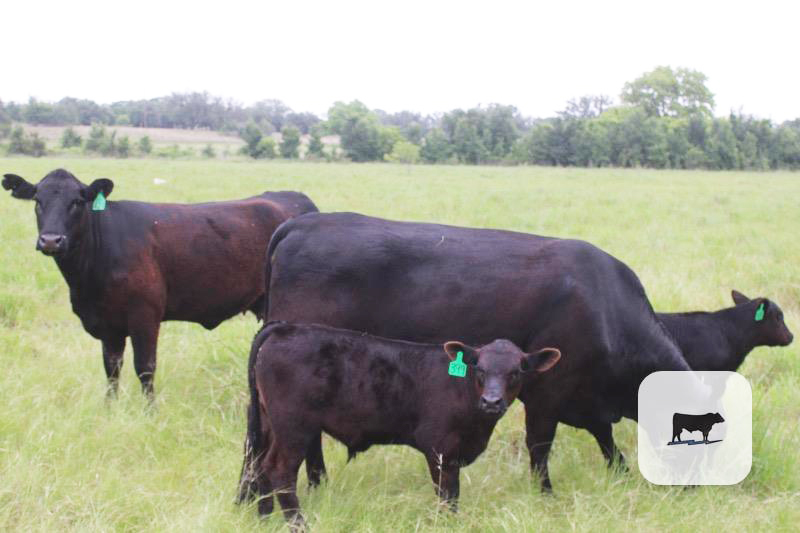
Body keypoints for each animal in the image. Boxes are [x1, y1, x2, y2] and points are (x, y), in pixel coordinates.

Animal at [2, 169, 317, 400]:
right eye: (38, 201)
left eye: (77, 202)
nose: (51, 240)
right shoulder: (108, 324)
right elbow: (111, 369)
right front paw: (110, 407)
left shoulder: (145, 316)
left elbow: (145, 367)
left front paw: (149, 411)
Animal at [238, 321, 561, 528]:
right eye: (479, 369)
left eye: (517, 371)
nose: (492, 401)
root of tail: (283, 328)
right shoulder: (440, 448)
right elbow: (448, 495)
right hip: (294, 426)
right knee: (279, 470)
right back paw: (298, 524)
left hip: (268, 423)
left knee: (259, 465)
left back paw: (263, 519)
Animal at [251, 212, 693, 492]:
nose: (695, 487)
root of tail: (299, 224)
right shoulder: (548, 394)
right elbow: (540, 447)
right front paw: (545, 494)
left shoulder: (588, 403)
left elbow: (607, 442)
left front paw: (620, 475)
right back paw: (315, 485)